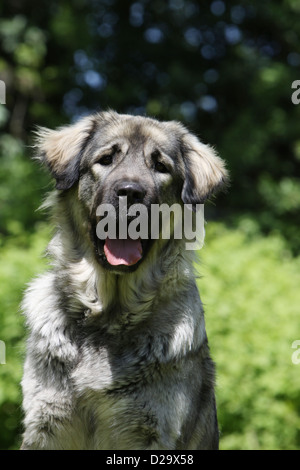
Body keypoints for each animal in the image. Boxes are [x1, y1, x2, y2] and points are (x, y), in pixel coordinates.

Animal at [21, 111, 227, 452]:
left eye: (160, 167)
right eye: (106, 159)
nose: (130, 192)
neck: (109, 319)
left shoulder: (152, 432)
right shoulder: (48, 425)